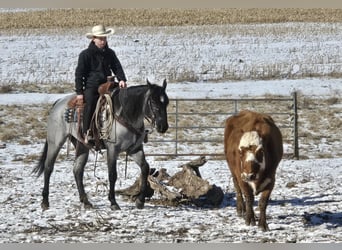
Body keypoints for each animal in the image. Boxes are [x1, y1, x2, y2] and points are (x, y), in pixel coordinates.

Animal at [32, 79, 169, 210]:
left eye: (166, 102)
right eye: (154, 102)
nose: (163, 127)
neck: (125, 114)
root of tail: (59, 102)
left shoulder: (134, 149)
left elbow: (145, 168)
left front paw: (140, 201)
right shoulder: (113, 149)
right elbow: (112, 175)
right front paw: (113, 202)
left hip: (82, 145)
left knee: (77, 170)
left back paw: (86, 201)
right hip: (55, 142)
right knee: (48, 168)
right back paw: (45, 202)